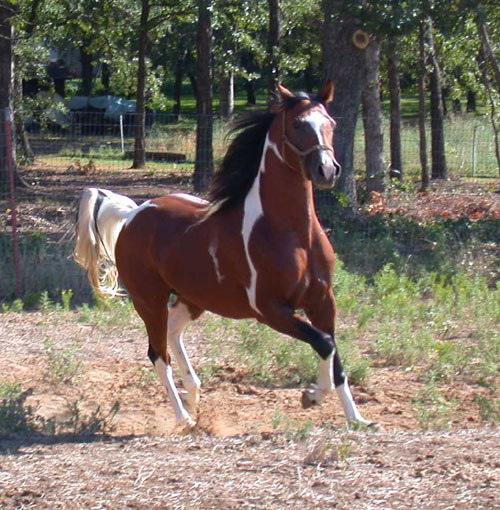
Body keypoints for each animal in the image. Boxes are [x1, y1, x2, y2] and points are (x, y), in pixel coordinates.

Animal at [75, 81, 372, 432]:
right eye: (299, 124)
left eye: (331, 123)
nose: (327, 170)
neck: (293, 235)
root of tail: (134, 213)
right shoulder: (270, 309)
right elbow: (324, 342)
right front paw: (311, 396)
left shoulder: (323, 301)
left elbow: (334, 353)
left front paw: (357, 418)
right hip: (149, 300)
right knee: (158, 354)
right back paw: (184, 417)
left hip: (193, 299)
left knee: (173, 333)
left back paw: (193, 394)